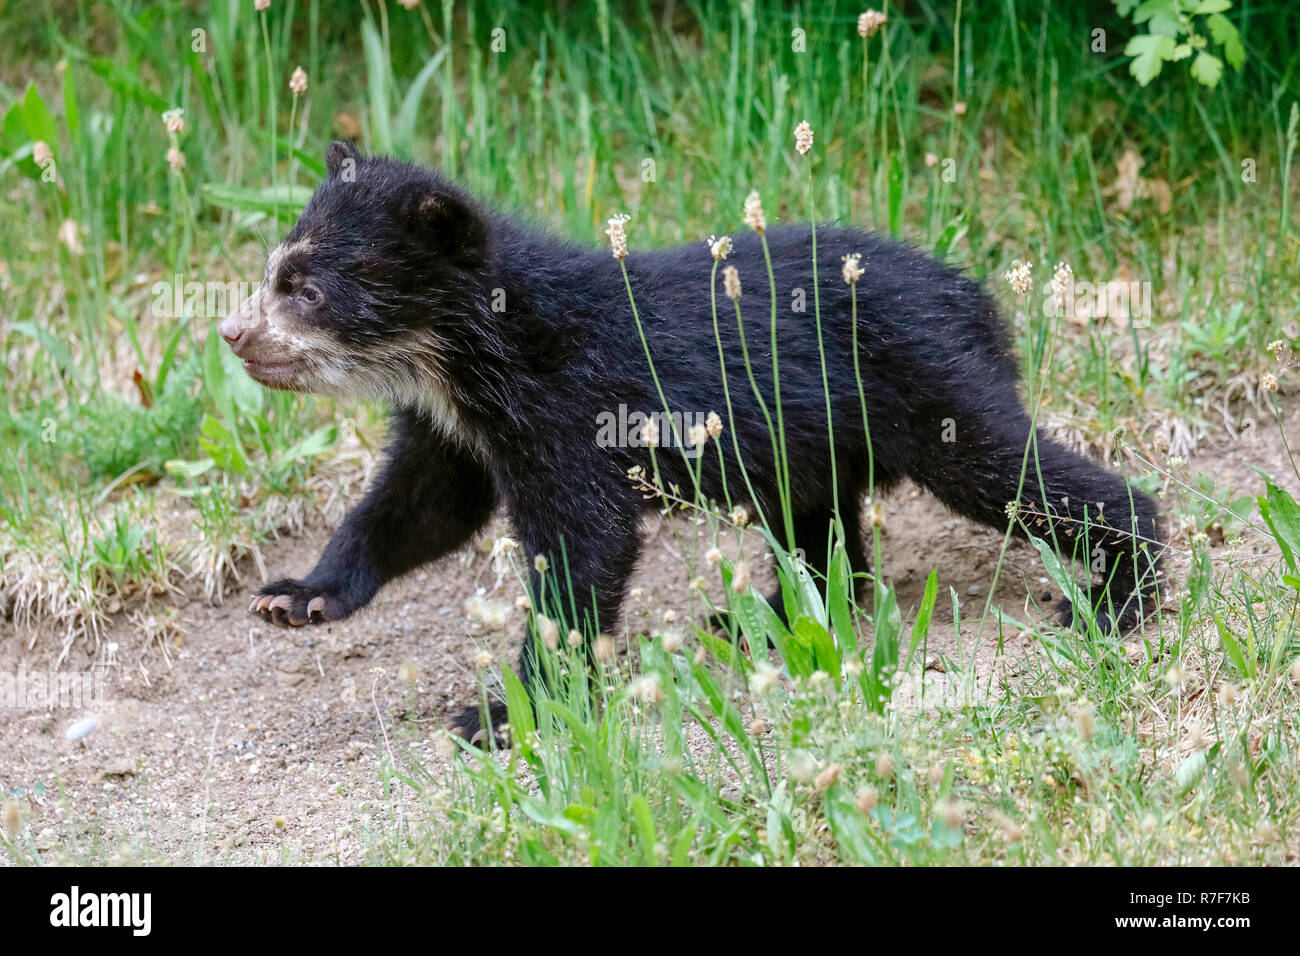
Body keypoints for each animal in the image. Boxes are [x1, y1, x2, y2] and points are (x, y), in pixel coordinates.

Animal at [220, 140, 1162, 744]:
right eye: (276, 271)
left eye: (306, 288)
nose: (232, 334)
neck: (470, 358)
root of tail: (975, 298)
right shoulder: (454, 429)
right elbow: (415, 509)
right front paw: (298, 597)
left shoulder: (569, 408)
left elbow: (585, 546)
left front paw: (507, 712)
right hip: (812, 436)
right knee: (821, 529)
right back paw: (770, 617)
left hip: (925, 387)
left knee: (1009, 467)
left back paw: (1123, 588)